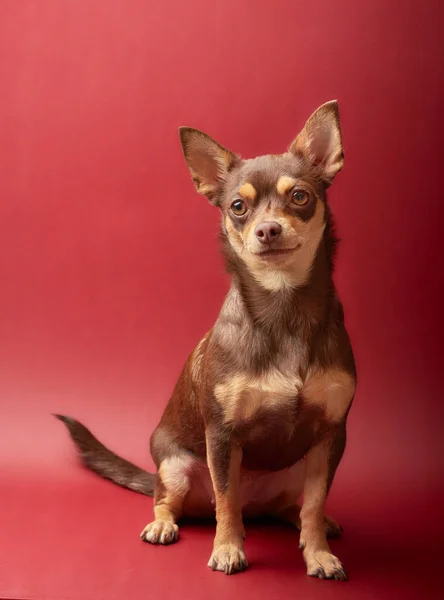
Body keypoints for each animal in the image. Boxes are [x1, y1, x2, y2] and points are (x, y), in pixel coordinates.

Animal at [55, 101, 356, 580]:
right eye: (237, 206)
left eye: (300, 197)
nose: (268, 230)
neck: (284, 306)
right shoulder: (223, 437)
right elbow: (226, 502)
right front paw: (228, 548)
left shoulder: (330, 436)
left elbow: (313, 503)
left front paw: (319, 553)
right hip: (176, 468)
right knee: (174, 502)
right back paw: (163, 525)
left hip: (299, 467)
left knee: (293, 506)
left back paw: (314, 523)